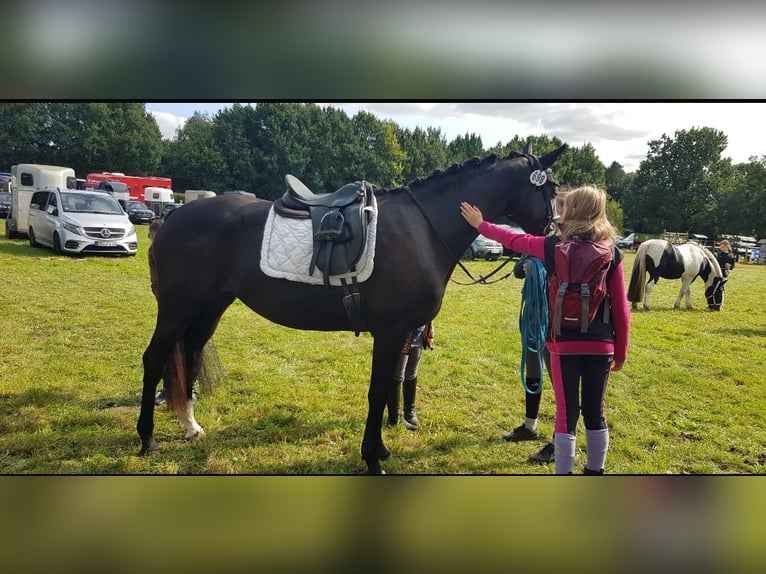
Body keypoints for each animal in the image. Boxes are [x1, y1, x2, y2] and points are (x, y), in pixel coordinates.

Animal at [140, 143, 564, 472]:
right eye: (553, 188)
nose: (553, 238)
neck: (424, 227)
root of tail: (174, 215)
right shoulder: (390, 332)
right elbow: (378, 392)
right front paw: (373, 458)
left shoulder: (399, 333)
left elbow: (388, 388)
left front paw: (380, 450)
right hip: (178, 307)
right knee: (155, 358)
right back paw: (147, 440)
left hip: (210, 307)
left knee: (190, 357)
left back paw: (190, 427)